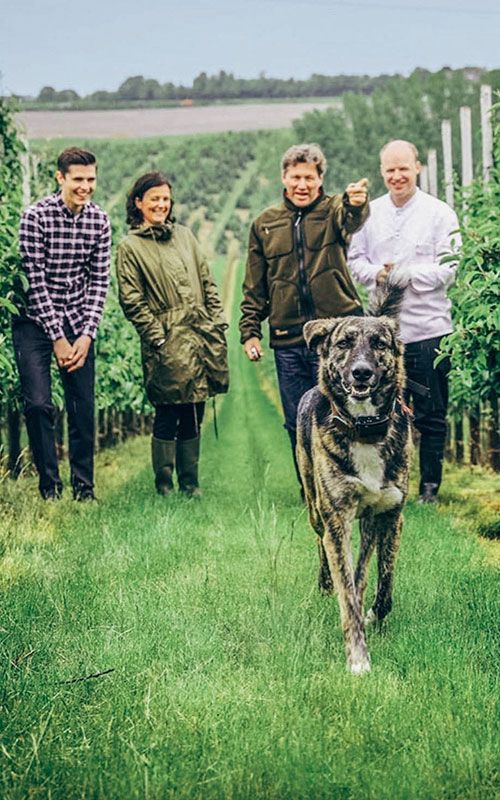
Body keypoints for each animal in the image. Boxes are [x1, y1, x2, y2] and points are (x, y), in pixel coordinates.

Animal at [296, 288, 410, 676]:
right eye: (344, 343)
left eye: (379, 343)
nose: (361, 373)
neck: (364, 429)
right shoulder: (337, 519)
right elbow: (347, 592)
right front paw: (358, 658)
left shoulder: (391, 514)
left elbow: (383, 582)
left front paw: (374, 612)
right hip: (315, 509)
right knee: (321, 545)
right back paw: (325, 582)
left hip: (369, 521)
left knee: (363, 563)